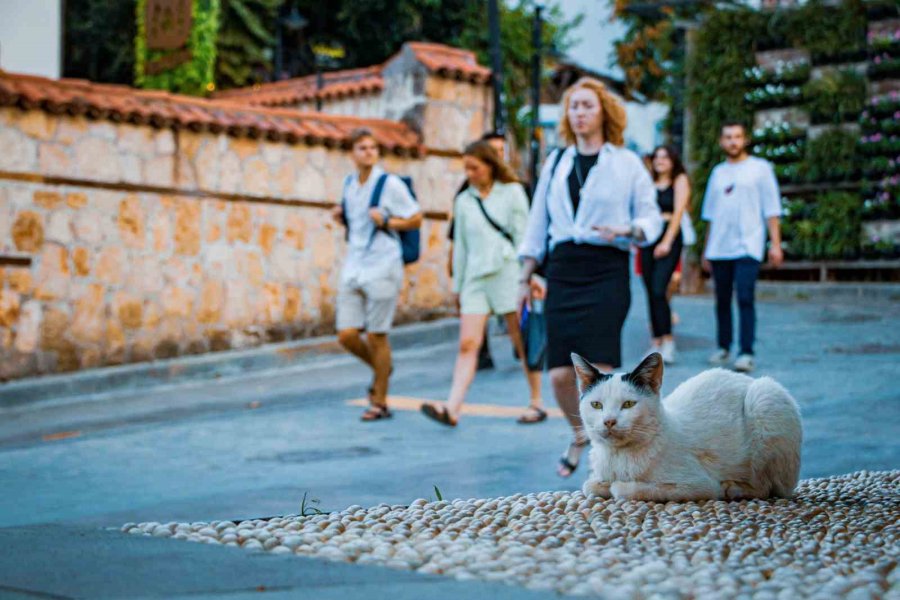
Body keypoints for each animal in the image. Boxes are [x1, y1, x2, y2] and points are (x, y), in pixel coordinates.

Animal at [572, 352, 800, 502]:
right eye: (596, 405)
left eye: (628, 404)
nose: (609, 421)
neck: (618, 458)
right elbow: (589, 485)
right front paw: (601, 484)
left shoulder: (699, 485)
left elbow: (625, 489)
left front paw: (616, 486)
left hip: (763, 398)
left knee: (767, 487)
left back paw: (733, 488)